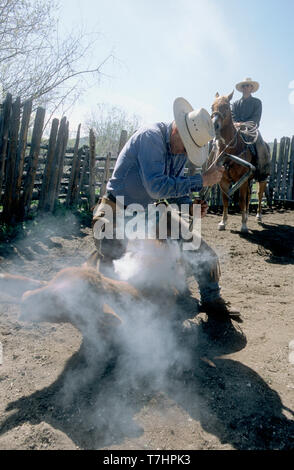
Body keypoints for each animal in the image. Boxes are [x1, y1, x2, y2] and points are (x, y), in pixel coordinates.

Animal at [211, 91, 268, 232]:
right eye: (212, 107)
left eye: (227, 107)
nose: (214, 126)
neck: (230, 151)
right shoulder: (223, 180)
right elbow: (225, 200)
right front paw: (223, 222)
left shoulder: (242, 179)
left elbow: (241, 200)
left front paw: (243, 225)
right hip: (249, 181)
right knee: (249, 196)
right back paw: (246, 215)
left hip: (262, 179)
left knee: (259, 195)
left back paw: (258, 216)